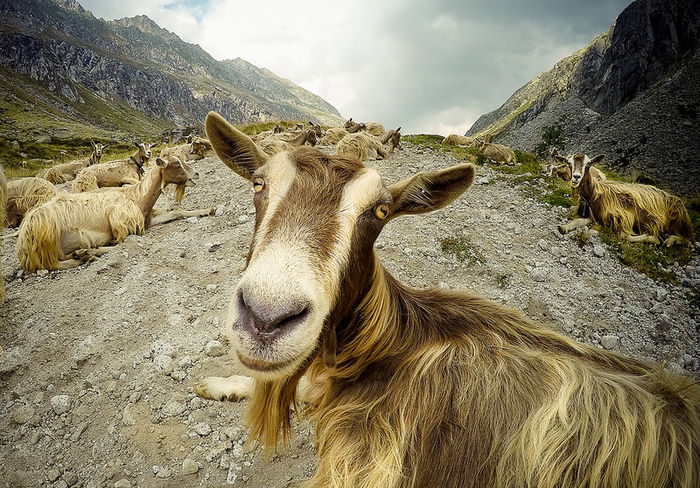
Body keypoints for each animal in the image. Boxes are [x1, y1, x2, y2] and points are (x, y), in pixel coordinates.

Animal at [17, 157, 213, 272]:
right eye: (176, 164)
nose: (196, 174)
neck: (136, 197)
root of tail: (23, 242)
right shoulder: (123, 225)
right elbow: (122, 243)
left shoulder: (147, 219)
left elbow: (177, 212)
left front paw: (208, 210)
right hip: (48, 240)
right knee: (52, 264)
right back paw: (85, 255)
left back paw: (83, 254)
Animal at [556, 152, 692, 246]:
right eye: (569, 163)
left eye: (588, 164)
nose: (576, 177)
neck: (594, 194)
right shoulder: (593, 216)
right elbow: (577, 221)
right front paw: (564, 227)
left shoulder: (626, 218)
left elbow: (625, 236)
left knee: (686, 239)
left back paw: (670, 240)